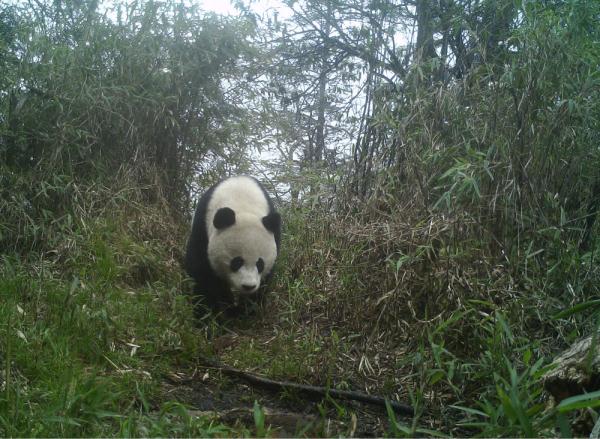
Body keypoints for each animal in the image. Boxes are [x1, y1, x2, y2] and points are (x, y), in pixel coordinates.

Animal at [185, 175, 282, 312]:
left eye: (260, 264)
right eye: (237, 262)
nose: (248, 286)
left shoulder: (275, 236)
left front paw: (247, 308)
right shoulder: (202, 226)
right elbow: (201, 271)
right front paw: (208, 309)